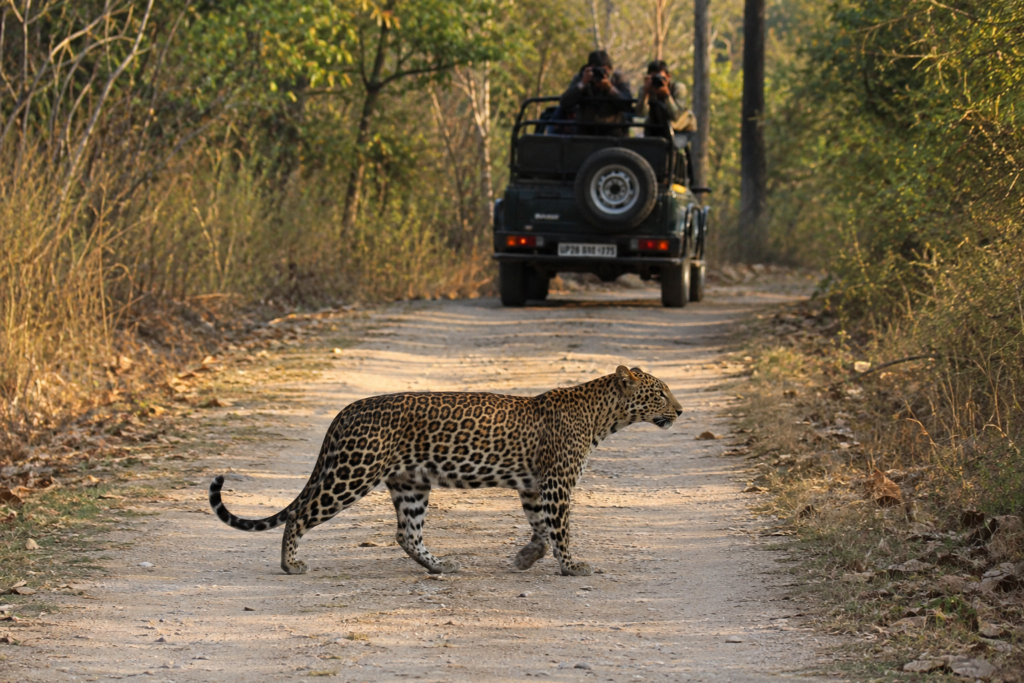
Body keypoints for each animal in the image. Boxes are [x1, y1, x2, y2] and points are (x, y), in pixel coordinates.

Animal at [208, 365, 682, 577]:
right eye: (659, 392)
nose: (680, 410)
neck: (602, 417)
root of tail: (346, 411)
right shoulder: (556, 484)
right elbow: (561, 529)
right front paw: (571, 566)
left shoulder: (534, 487)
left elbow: (540, 530)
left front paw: (526, 558)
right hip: (353, 473)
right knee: (301, 516)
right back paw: (291, 565)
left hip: (410, 483)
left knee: (406, 532)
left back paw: (439, 566)